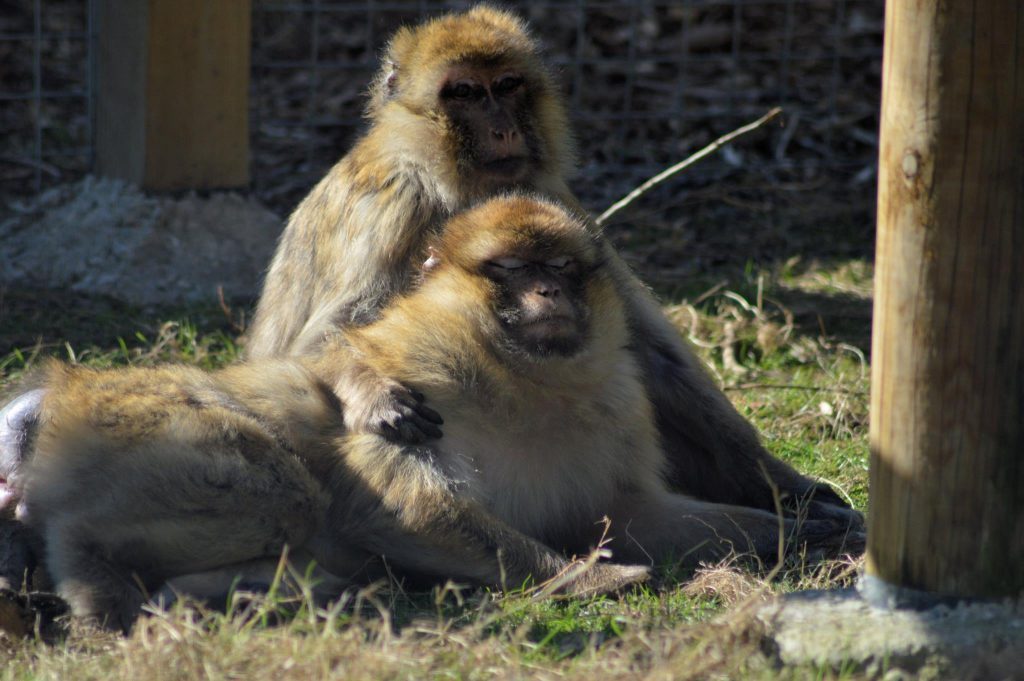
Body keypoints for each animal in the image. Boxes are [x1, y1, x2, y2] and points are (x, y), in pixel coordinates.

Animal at [241, 5, 864, 524]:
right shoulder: (397, 206)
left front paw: (787, 487)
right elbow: (319, 344)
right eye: (464, 92)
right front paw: (373, 392)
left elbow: (649, 353)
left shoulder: (557, 202)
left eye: (507, 86)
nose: (504, 128)